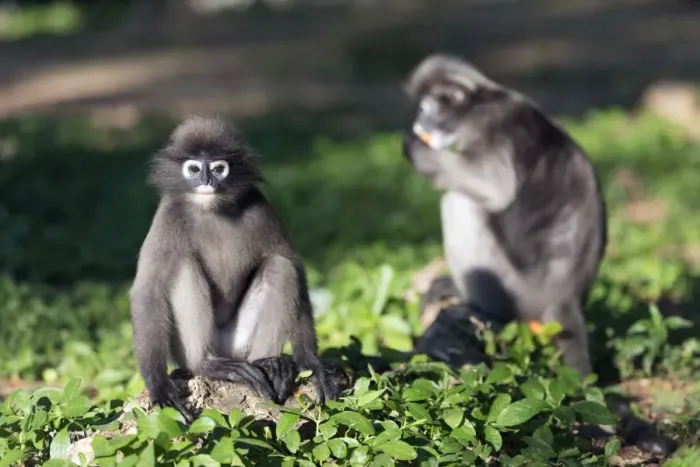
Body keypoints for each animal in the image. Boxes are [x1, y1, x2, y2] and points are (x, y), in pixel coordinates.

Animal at [129, 116, 337, 421]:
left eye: (218, 168)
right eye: (194, 168)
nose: (206, 181)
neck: (212, 208)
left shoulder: (260, 205)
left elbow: (294, 266)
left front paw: (310, 363)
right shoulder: (168, 215)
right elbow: (148, 290)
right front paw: (159, 386)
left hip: (239, 344)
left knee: (281, 266)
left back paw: (270, 364)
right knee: (182, 265)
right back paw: (207, 364)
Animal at [401, 53, 608, 378]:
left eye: (425, 110)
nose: (418, 123)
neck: (486, 100)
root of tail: (565, 299)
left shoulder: (491, 126)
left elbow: (493, 187)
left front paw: (416, 149)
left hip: (517, 291)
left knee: (461, 201)